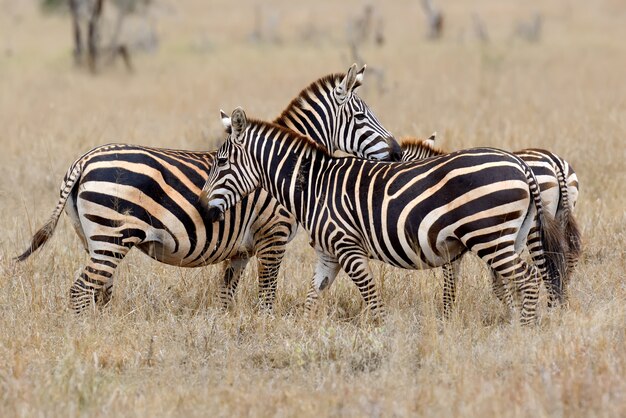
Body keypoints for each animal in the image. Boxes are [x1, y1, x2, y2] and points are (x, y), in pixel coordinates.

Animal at [15, 63, 400, 314]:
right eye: (362, 117)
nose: (397, 152)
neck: (279, 164)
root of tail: (84, 160)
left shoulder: (240, 250)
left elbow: (225, 298)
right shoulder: (272, 235)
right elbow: (266, 296)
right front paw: (265, 328)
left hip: (94, 240)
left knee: (97, 292)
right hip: (112, 237)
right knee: (80, 292)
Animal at [400, 135, 580, 314]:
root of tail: (554, 162)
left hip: (536, 229)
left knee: (549, 269)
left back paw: (551, 310)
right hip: (561, 217)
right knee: (566, 260)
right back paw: (562, 307)